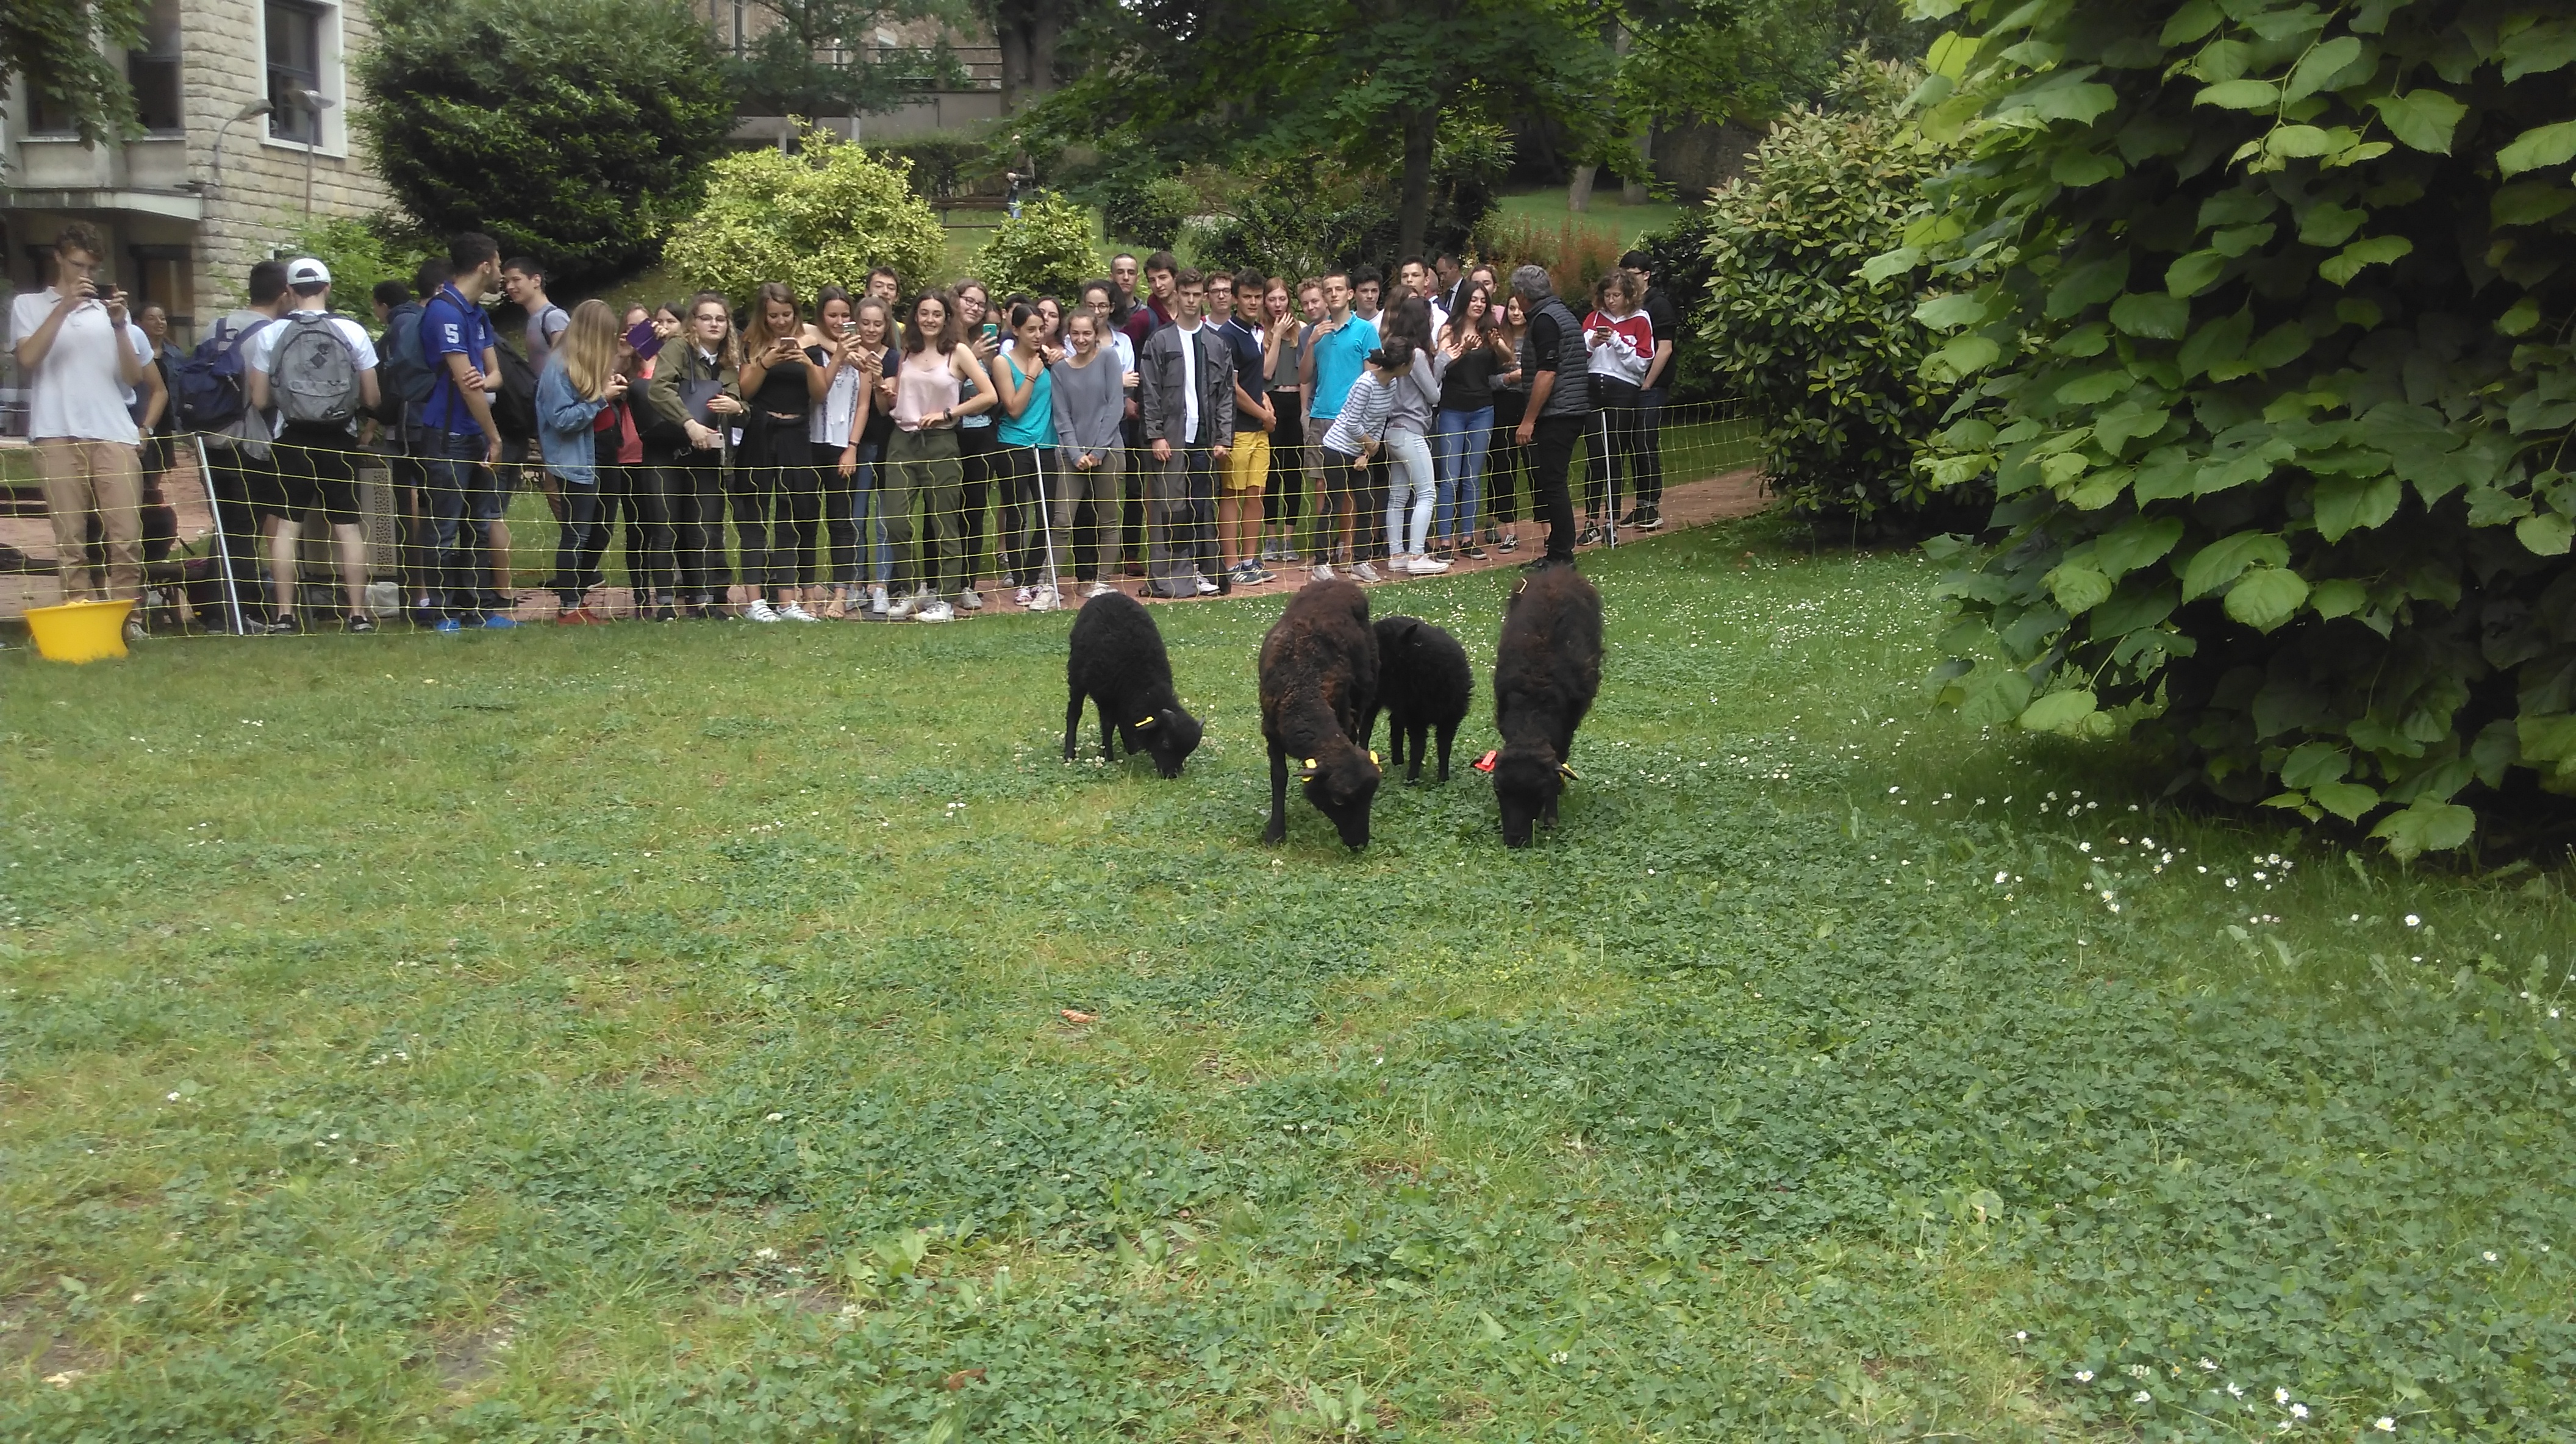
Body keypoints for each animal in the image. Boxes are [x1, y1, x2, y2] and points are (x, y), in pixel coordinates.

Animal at [1061, 589, 1200, 777]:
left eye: (1187, 752)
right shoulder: (1107, 699)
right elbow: (1107, 726)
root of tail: (1107, 594)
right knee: (1074, 713)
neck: (1144, 684)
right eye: (1165, 742)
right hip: (1076, 675)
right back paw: (1069, 754)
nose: (1172, 775)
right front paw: (1108, 757)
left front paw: (1131, 748)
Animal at [1257, 574, 1381, 844]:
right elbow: (1279, 777)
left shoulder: (1343, 712)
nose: (1360, 844)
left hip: (1365, 686)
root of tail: (1336, 581)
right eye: (1338, 800)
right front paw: (1275, 832)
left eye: (1371, 797)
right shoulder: (1271, 731)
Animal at [1370, 612, 1473, 782]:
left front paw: (1443, 779)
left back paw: (1398, 760)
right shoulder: (1416, 719)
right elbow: (1418, 749)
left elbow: (1444, 748)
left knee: (1395, 722)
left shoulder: (1450, 719)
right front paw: (1412, 779)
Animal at [1484, 563, 1597, 844]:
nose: (1514, 840)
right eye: (1499, 790)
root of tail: (1557, 570)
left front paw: (1552, 816)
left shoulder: (1568, 726)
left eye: (1540, 792)